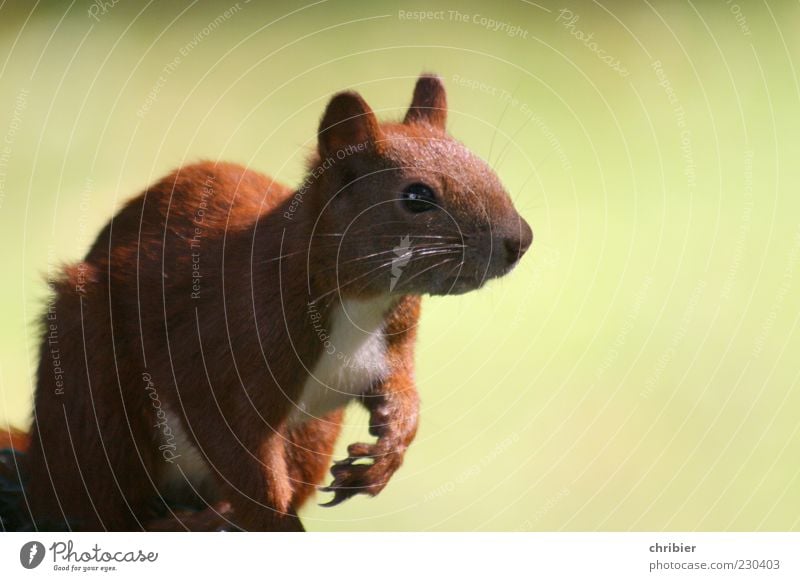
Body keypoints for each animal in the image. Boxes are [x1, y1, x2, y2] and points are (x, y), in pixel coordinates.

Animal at [4, 72, 532, 532]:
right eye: (417, 197)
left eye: (486, 167)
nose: (520, 240)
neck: (361, 300)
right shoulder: (225, 347)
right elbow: (238, 452)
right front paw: (276, 523)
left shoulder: (393, 341)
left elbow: (400, 387)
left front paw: (390, 445)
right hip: (90, 380)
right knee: (97, 500)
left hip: (313, 431)